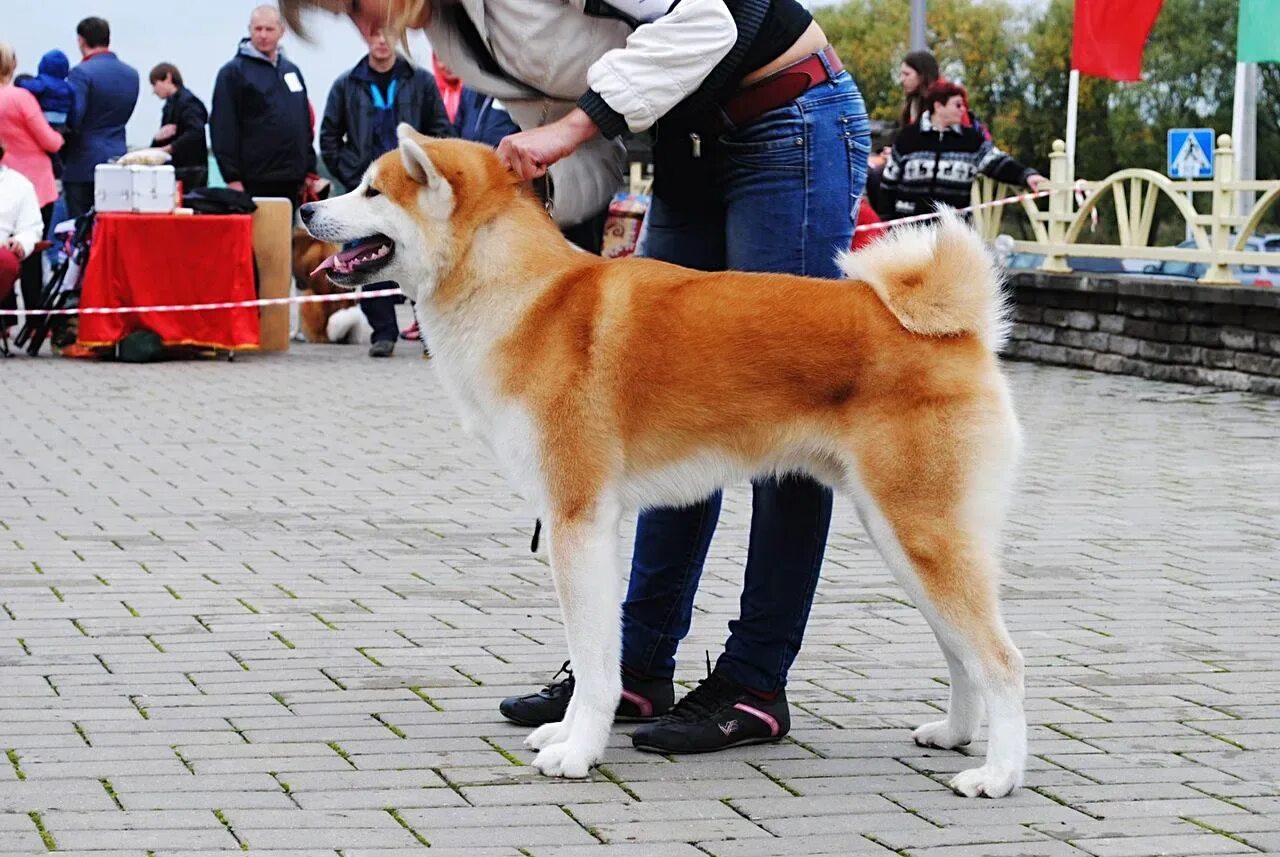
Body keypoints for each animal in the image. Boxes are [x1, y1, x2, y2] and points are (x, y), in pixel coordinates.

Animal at [302, 125, 1029, 798]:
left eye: (372, 191)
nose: (307, 208)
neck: (524, 295)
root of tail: (962, 334)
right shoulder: (593, 530)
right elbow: (597, 652)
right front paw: (566, 730)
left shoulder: (574, 521)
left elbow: (595, 663)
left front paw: (578, 752)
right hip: (904, 540)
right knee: (961, 653)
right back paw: (954, 734)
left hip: (920, 534)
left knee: (1002, 659)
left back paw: (998, 774)